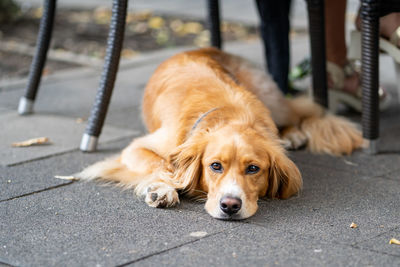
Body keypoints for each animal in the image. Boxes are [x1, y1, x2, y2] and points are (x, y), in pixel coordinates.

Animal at [77, 47, 362, 220]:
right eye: (215, 166)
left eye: (253, 169)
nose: (230, 206)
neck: (232, 116)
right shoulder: (136, 148)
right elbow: (162, 164)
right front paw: (161, 188)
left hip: (272, 99)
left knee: (302, 111)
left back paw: (292, 135)